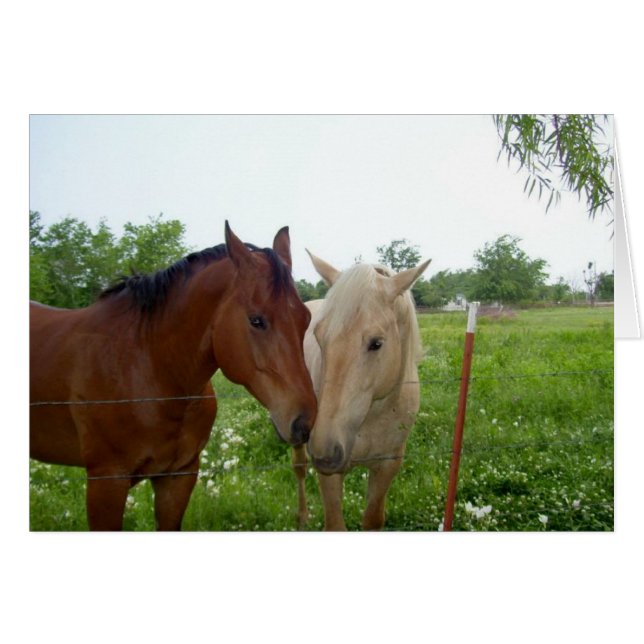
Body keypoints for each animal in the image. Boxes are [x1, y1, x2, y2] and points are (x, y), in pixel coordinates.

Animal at [30, 222, 317, 530]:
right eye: (256, 320)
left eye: (306, 319)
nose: (304, 423)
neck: (151, 370)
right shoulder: (106, 482)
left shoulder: (178, 477)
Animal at [292, 251, 430, 530]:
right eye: (319, 337)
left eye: (376, 343)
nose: (324, 452)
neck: (372, 416)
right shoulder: (330, 476)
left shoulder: (387, 466)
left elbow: (373, 519)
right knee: (299, 467)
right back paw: (302, 516)